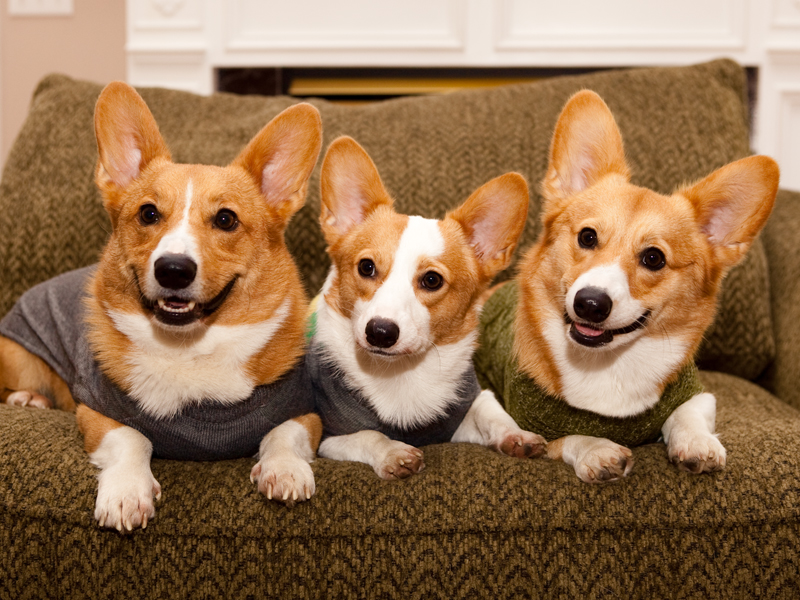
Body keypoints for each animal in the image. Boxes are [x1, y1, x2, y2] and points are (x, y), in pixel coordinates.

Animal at [0, 83, 324, 528]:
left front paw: (285, 469)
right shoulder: (95, 412)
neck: (187, 349)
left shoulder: (306, 412)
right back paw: (28, 399)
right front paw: (126, 492)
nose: (173, 269)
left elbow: (284, 434)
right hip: (19, 357)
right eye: (148, 213)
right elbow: (131, 437)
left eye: (226, 219)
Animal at [304, 136, 544, 478]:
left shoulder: (462, 417)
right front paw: (393, 452)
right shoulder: (331, 439)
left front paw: (515, 434)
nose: (380, 332)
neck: (400, 373)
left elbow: (490, 411)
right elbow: (369, 435)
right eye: (366, 267)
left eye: (432, 280)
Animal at [504, 90, 780, 482]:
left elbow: (687, 414)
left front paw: (697, 442)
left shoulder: (698, 395)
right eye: (587, 237)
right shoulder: (528, 421)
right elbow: (568, 436)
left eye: (654, 258)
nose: (590, 304)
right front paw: (597, 448)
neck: (608, 365)